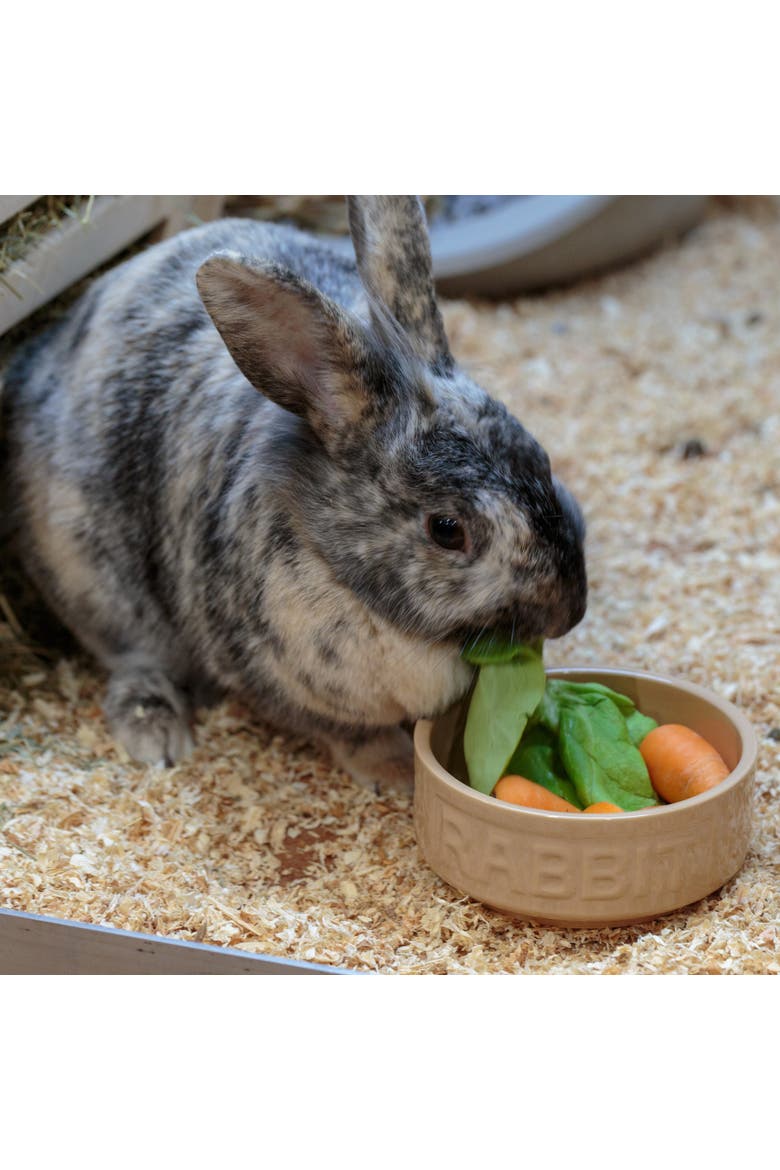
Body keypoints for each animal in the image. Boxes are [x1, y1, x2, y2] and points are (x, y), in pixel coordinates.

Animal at [1, 196, 587, 792]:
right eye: (447, 530)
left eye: (541, 459)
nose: (570, 612)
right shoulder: (281, 683)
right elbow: (351, 734)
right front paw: (396, 771)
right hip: (98, 588)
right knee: (133, 662)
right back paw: (158, 736)